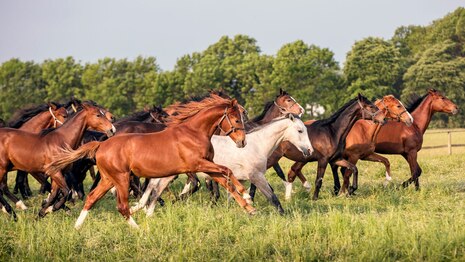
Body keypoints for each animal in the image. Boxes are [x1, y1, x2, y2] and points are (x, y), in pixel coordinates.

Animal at [47, 94, 254, 229]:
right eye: (237, 118)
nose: (243, 141)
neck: (194, 132)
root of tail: (101, 145)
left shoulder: (207, 166)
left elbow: (225, 181)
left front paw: (249, 208)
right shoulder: (197, 164)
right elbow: (227, 171)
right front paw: (247, 196)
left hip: (108, 179)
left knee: (91, 198)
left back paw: (76, 227)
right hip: (121, 178)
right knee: (122, 206)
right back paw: (138, 229)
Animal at [130, 113, 312, 216]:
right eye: (300, 131)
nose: (309, 150)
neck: (258, 145)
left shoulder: (244, 179)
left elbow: (234, 194)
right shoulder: (256, 176)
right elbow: (272, 198)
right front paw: (284, 216)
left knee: (155, 186)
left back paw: (146, 211)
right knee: (155, 186)